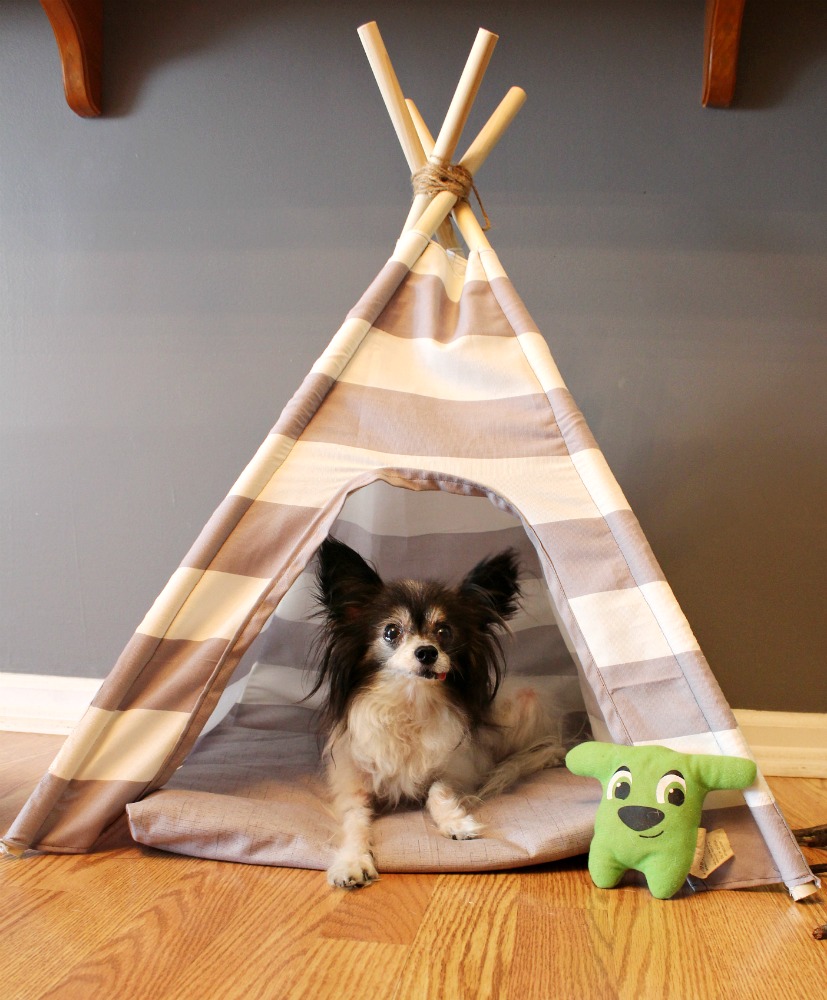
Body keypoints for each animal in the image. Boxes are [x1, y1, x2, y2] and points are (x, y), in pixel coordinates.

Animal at [308, 536, 564, 888]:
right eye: (391, 632)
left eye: (444, 632)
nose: (427, 652)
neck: (409, 703)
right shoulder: (351, 785)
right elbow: (355, 821)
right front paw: (351, 862)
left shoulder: (460, 767)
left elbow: (437, 790)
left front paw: (456, 823)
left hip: (528, 700)